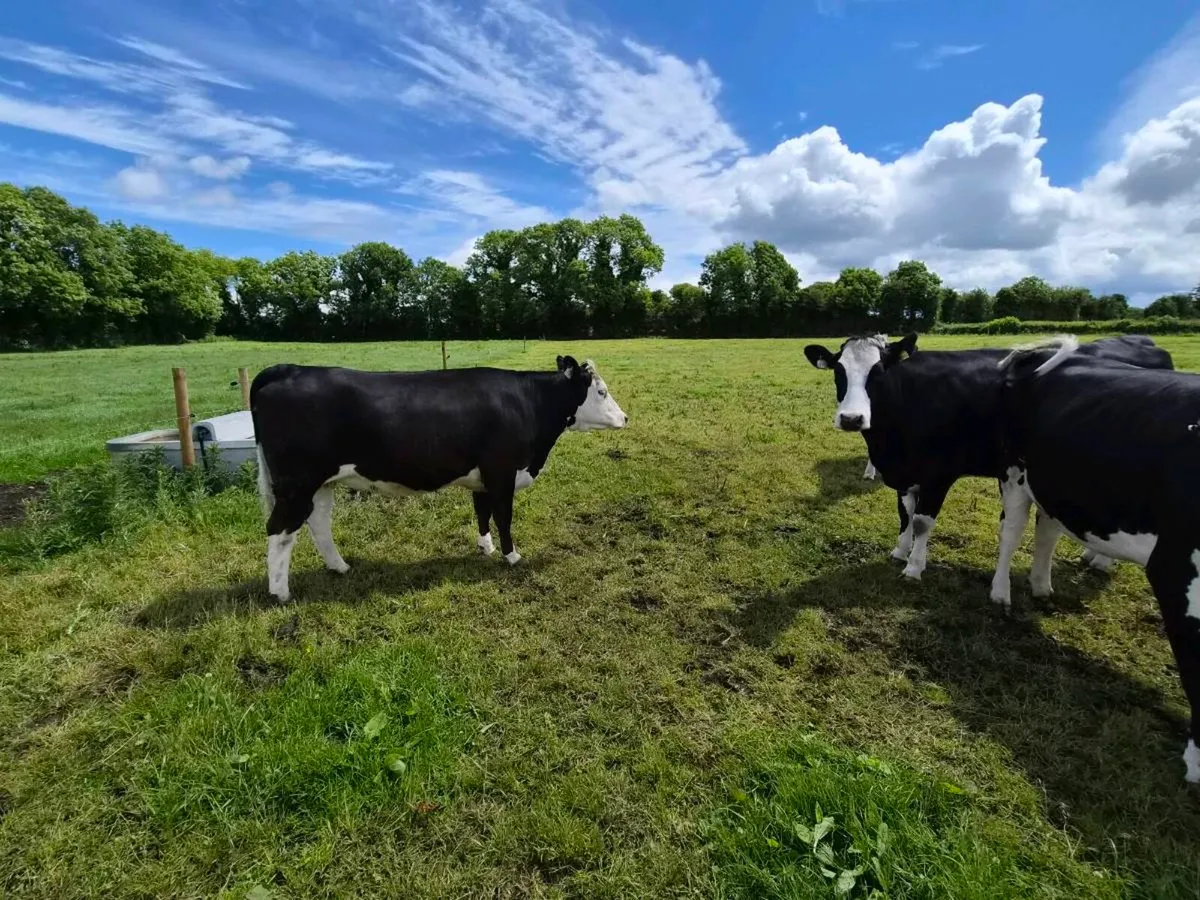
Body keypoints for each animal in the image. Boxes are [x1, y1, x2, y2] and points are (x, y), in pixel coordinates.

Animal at [250, 355, 628, 603]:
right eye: (602, 392)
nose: (625, 418)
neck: (528, 403)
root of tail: (287, 369)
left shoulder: (482, 477)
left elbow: (482, 512)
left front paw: (486, 548)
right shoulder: (502, 472)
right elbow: (503, 517)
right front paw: (512, 557)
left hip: (320, 485)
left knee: (319, 524)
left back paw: (339, 567)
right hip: (297, 484)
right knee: (279, 531)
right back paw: (280, 593)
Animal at [803, 333, 1173, 607]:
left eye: (879, 372)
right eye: (838, 371)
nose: (852, 419)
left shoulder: (939, 473)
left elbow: (922, 521)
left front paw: (914, 566)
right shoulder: (905, 472)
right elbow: (905, 512)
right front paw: (899, 550)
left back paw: (1101, 561)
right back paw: (1092, 557)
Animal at [998, 335, 1200, 781]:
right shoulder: (1176, 572)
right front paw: (1197, 764)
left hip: (1056, 486)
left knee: (1046, 531)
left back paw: (1042, 587)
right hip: (1015, 472)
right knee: (1011, 531)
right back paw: (1000, 594)